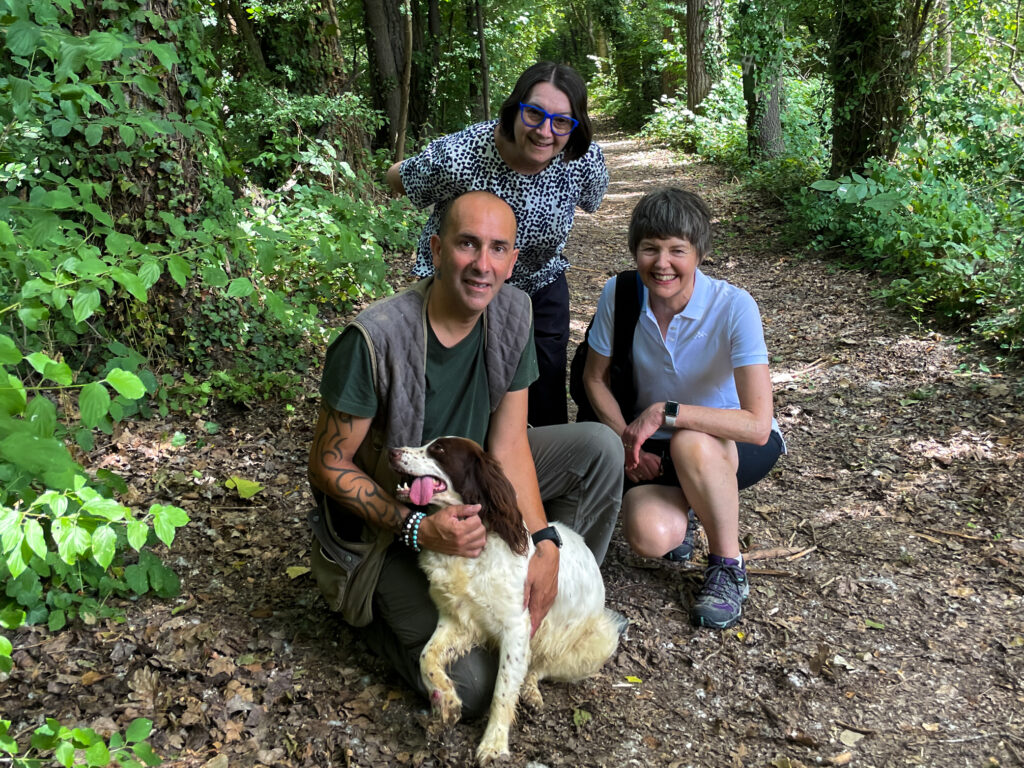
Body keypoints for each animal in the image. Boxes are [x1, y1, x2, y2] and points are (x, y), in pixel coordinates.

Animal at [385, 436, 618, 765]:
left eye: (439, 449)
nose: (392, 451)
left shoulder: (516, 628)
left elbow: (503, 689)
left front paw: (494, 744)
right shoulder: (456, 618)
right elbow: (426, 657)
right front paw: (447, 701)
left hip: (598, 639)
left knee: (541, 667)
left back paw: (531, 691)